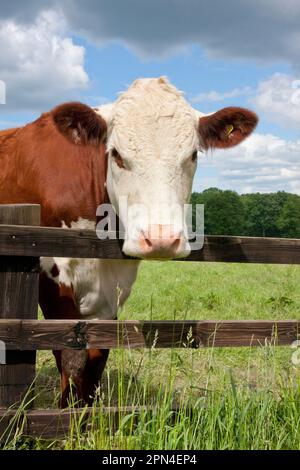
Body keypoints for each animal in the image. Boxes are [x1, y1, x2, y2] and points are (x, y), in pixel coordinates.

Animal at [0, 78, 258, 408]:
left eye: (193, 155)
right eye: (117, 155)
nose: (162, 238)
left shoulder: (113, 288)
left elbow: (97, 358)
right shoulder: (50, 276)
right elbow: (71, 357)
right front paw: (66, 418)